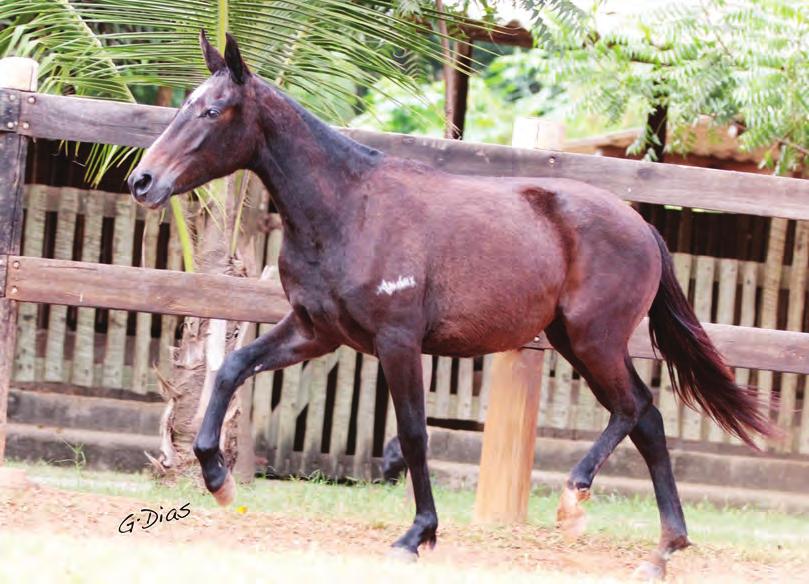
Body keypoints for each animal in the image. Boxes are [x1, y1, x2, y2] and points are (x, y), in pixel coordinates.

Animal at [129, 32, 772, 580]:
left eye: (212, 111)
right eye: (187, 104)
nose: (143, 181)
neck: (348, 208)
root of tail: (642, 227)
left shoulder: (397, 342)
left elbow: (413, 434)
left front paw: (418, 536)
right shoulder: (315, 331)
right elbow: (233, 368)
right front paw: (218, 479)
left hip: (595, 340)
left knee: (635, 409)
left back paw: (577, 502)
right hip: (574, 341)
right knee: (647, 420)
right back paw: (659, 552)